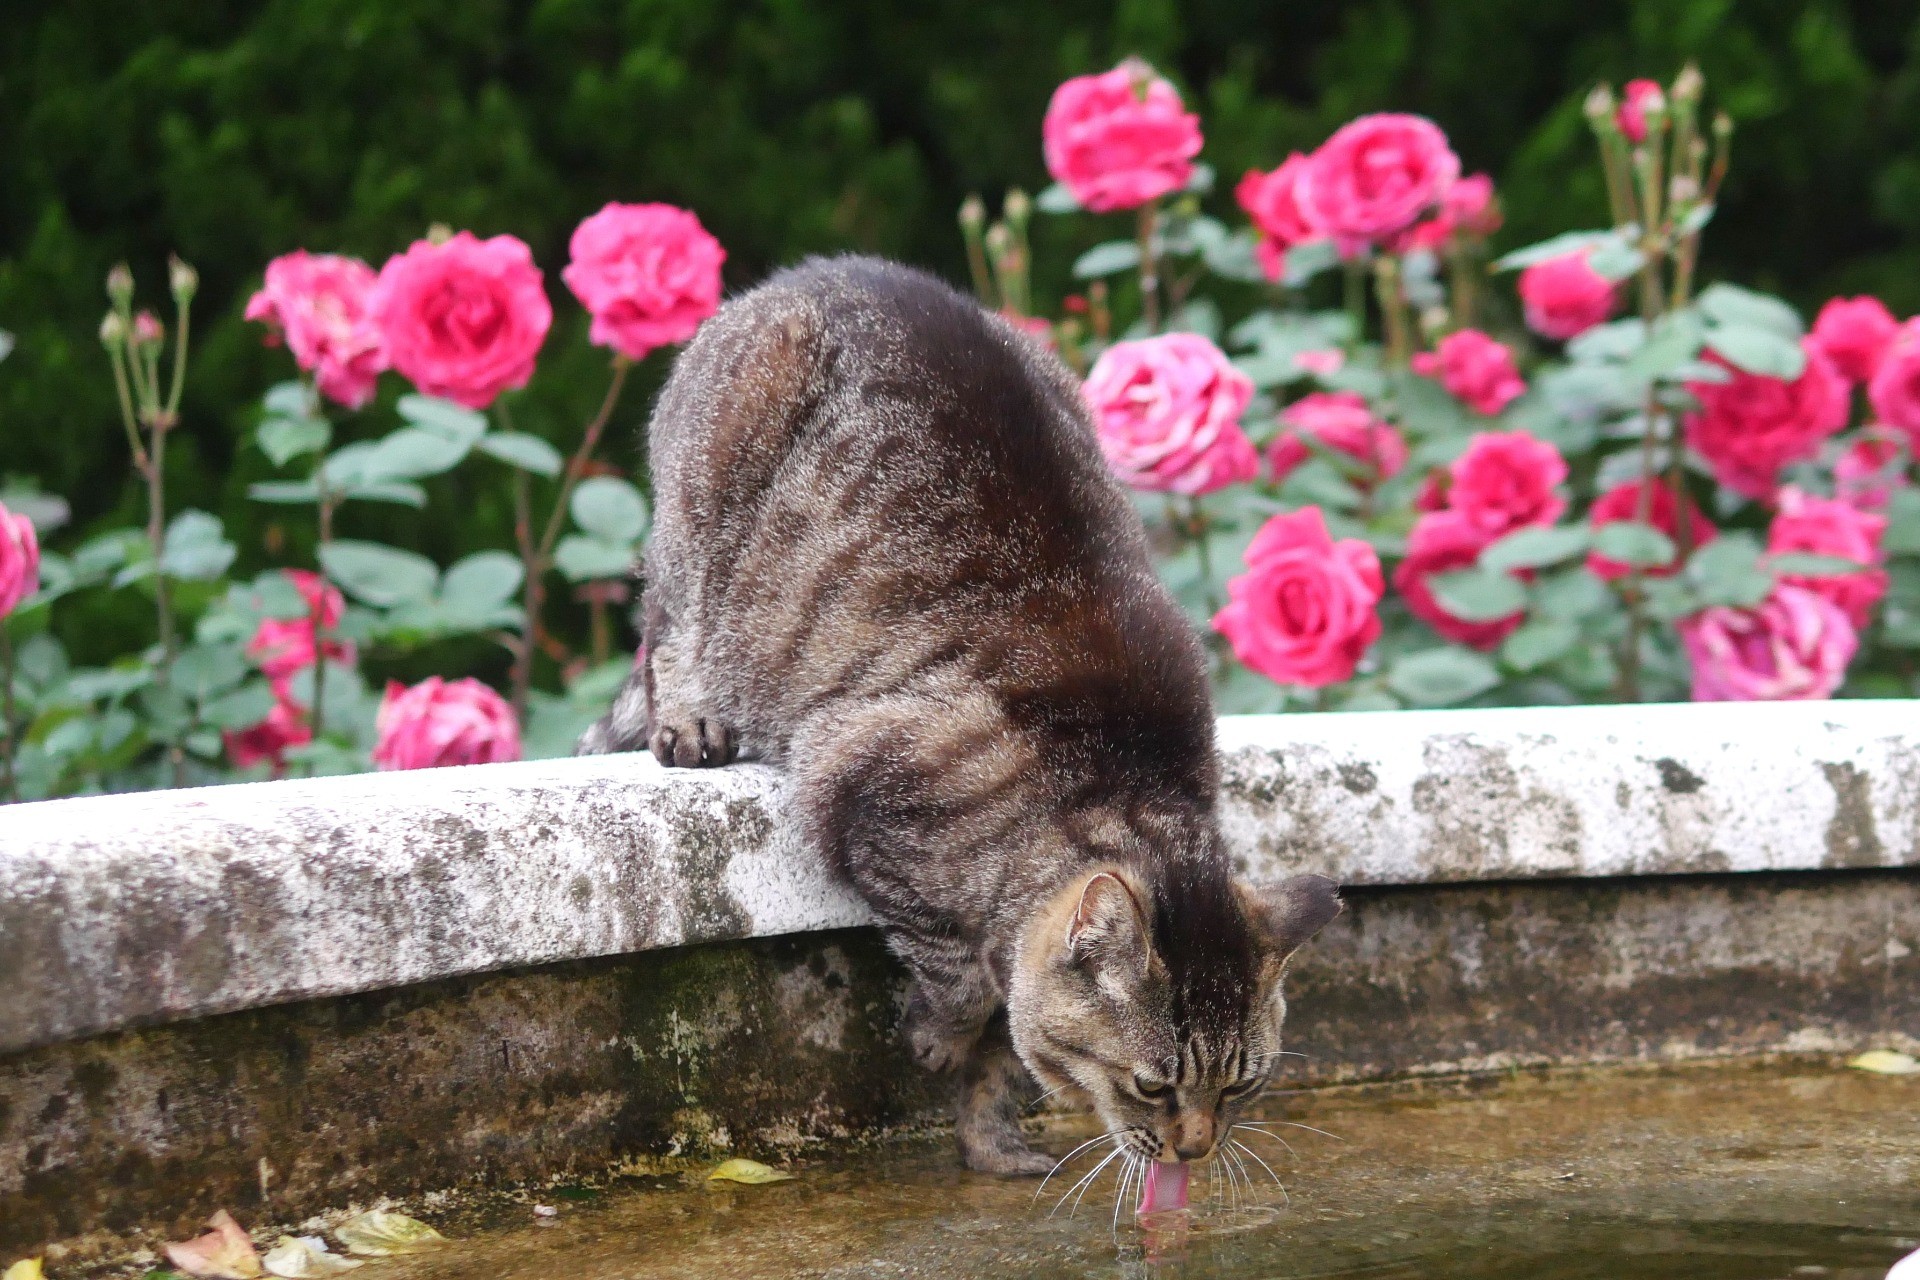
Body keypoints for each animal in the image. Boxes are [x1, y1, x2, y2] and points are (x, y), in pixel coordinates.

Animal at [576, 255, 1344, 1174]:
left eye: (1241, 1086)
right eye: (1152, 1085)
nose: (1194, 1150)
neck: (1126, 776)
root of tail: (816, 271)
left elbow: (1006, 1043)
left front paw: (993, 1144)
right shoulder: (869, 790)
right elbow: (962, 976)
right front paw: (941, 1037)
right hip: (705, 516)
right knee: (669, 625)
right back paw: (692, 717)